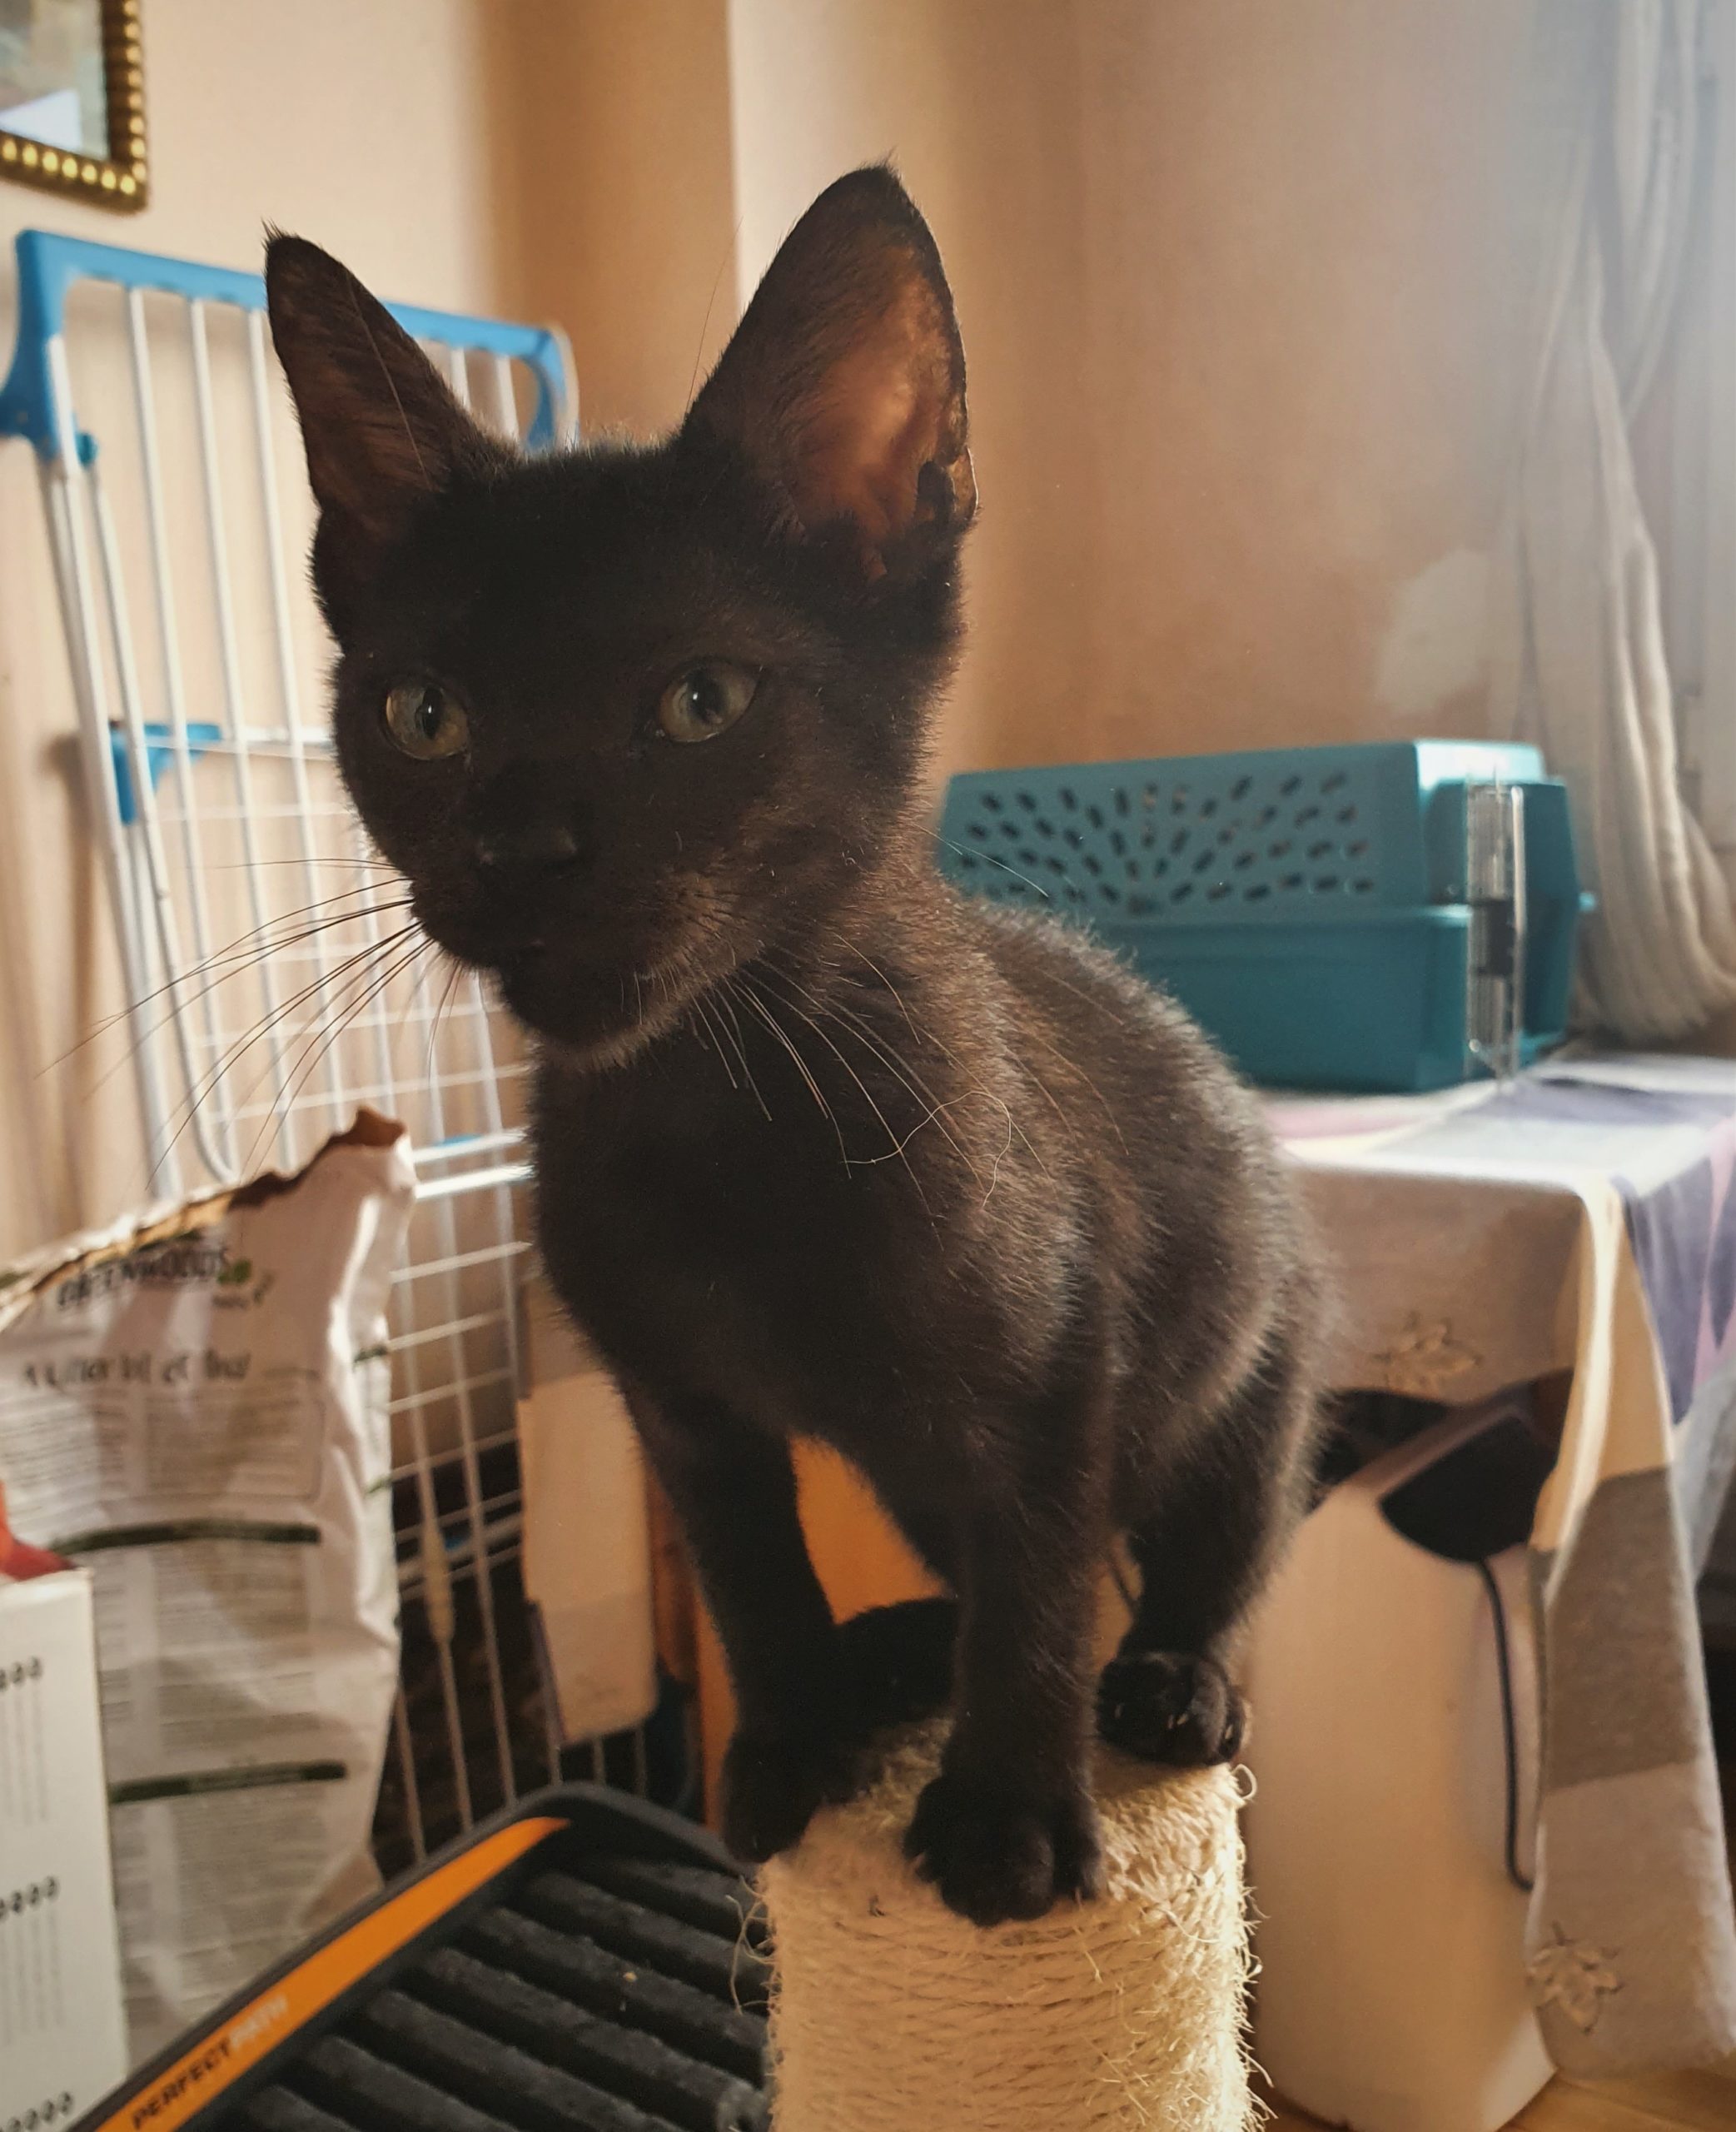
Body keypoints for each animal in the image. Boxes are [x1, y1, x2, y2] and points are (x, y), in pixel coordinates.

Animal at [266, 165, 1323, 1928]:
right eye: (424, 717)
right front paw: (786, 1748)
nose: (523, 849)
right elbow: (757, 1580)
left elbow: (1045, 1592)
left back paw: (1173, 1683)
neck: (722, 1109)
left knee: (1198, 1552)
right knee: (967, 1571)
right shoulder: (681, 1410)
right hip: (913, 1461)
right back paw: (891, 1660)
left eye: (701, 702)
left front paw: (1008, 1813)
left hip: (1253, 1364)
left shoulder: (1059, 1380)